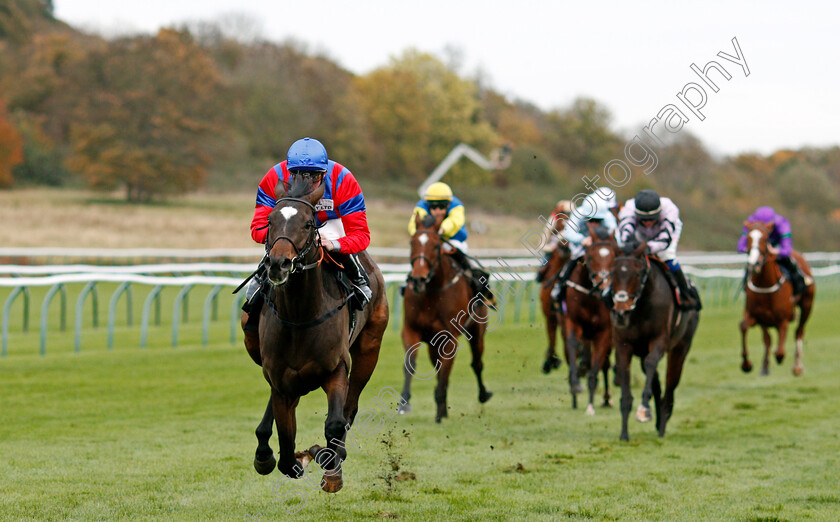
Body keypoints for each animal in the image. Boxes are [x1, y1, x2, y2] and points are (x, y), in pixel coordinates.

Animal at [243, 177, 388, 490]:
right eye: (270, 221)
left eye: (309, 223)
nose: (278, 263)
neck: (301, 316)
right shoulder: (280, 379)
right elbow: (286, 451)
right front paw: (294, 457)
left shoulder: (336, 368)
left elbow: (335, 423)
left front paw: (329, 463)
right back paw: (264, 450)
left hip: (369, 349)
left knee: (351, 406)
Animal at [398, 213, 492, 420]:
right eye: (411, 242)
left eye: (435, 245)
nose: (418, 279)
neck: (432, 292)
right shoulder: (411, 329)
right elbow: (410, 364)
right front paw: (404, 403)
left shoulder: (449, 338)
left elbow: (445, 370)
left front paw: (440, 414)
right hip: (434, 344)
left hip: (477, 332)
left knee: (477, 363)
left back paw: (482, 394)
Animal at [560, 225, 620, 412]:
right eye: (591, 256)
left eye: (614, 256)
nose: (603, 285)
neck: (591, 296)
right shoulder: (572, 323)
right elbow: (573, 346)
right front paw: (575, 385)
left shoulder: (604, 331)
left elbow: (596, 366)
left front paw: (591, 405)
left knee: (604, 363)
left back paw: (606, 398)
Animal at [608, 240, 700, 438]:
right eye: (613, 273)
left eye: (637, 273)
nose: (620, 313)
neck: (640, 306)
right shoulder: (623, 345)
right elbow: (626, 384)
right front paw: (624, 434)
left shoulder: (659, 341)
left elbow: (652, 364)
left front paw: (643, 410)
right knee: (657, 381)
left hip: (681, 347)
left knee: (670, 382)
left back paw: (663, 422)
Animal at [740, 219, 812, 374]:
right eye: (748, 238)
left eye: (765, 239)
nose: (754, 263)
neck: (765, 284)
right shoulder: (757, 315)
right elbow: (744, 327)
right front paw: (747, 364)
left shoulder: (783, 319)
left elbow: (780, 351)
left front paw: (779, 356)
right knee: (768, 338)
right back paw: (765, 366)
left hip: (807, 305)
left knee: (799, 331)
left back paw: (797, 366)